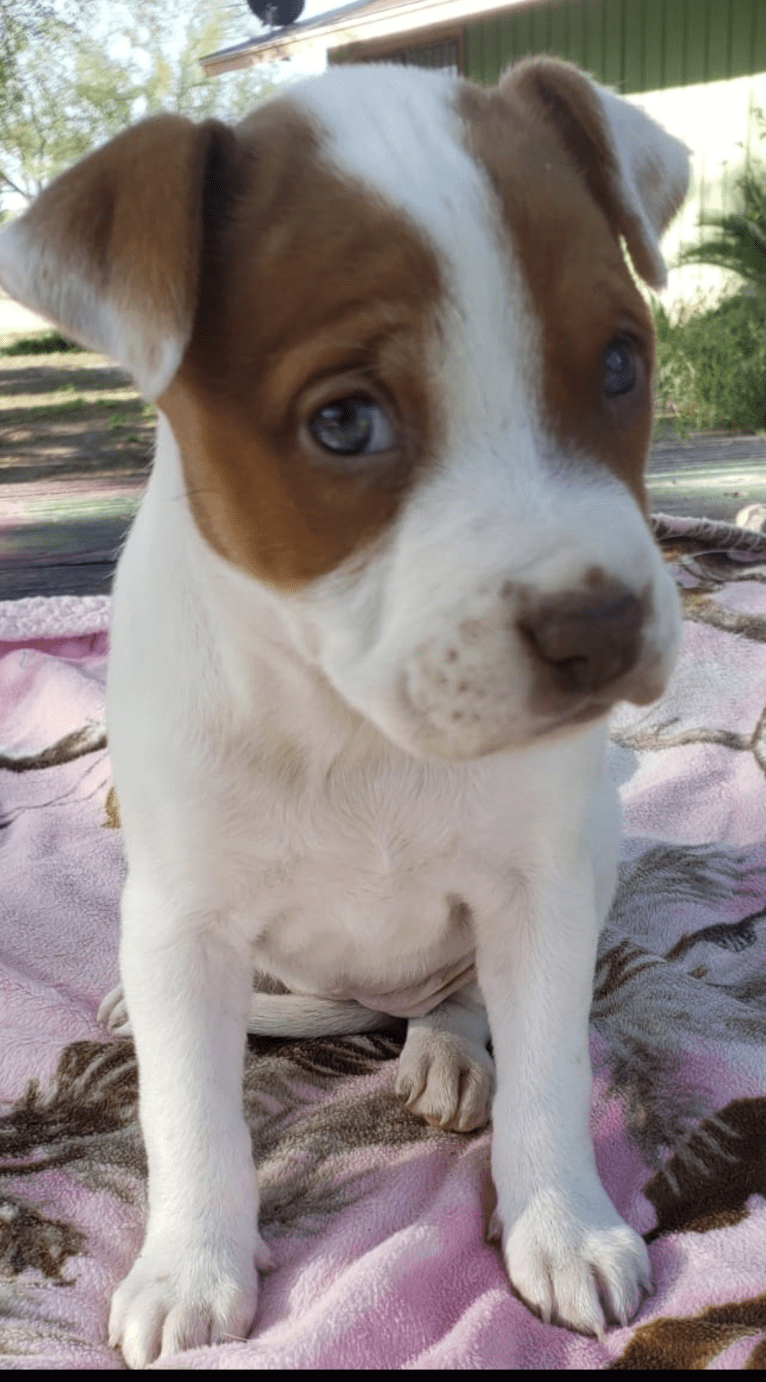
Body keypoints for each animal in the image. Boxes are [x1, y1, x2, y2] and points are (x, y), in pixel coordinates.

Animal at [0, 59, 685, 1365]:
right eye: (345, 422)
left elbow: (549, 1068)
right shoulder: (183, 917)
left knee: (463, 1000)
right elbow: (189, 1112)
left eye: (621, 364)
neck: (353, 727)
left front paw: (562, 1222)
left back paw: (448, 1047)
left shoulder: (540, 890)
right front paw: (193, 1261)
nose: (603, 626)